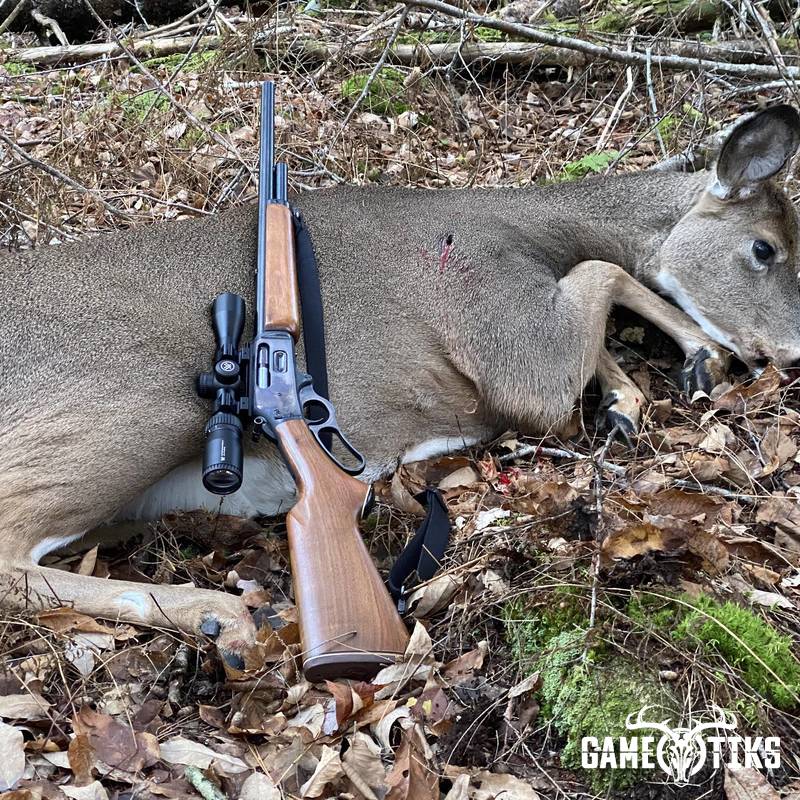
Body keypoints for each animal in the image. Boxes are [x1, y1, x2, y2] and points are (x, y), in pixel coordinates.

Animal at [1, 104, 799, 664]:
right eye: (765, 247)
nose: (790, 353)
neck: (532, 225)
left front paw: (638, 394)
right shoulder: (498, 318)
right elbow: (603, 273)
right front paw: (693, 356)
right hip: (132, 404)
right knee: (11, 556)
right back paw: (219, 614)